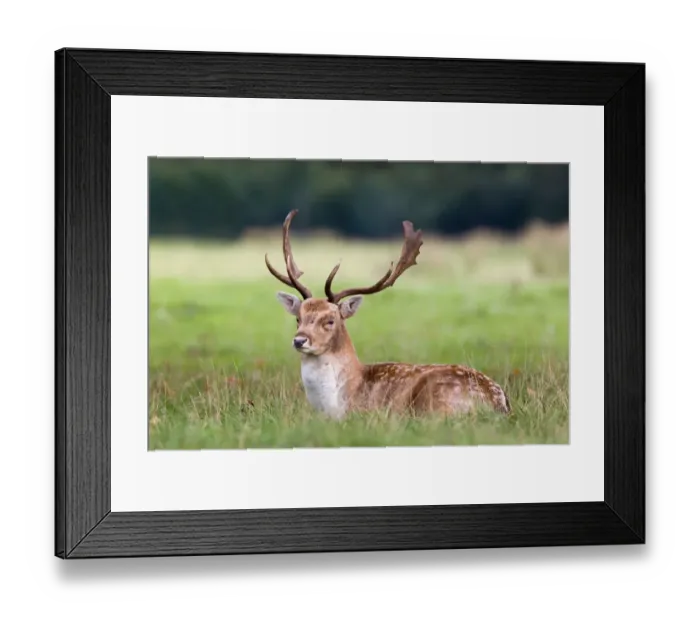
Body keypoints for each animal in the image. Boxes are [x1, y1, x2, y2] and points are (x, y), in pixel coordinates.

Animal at [264, 210, 511, 420]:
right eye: (298, 318)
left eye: (330, 320)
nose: (299, 340)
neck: (337, 403)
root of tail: (497, 402)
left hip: (434, 403)